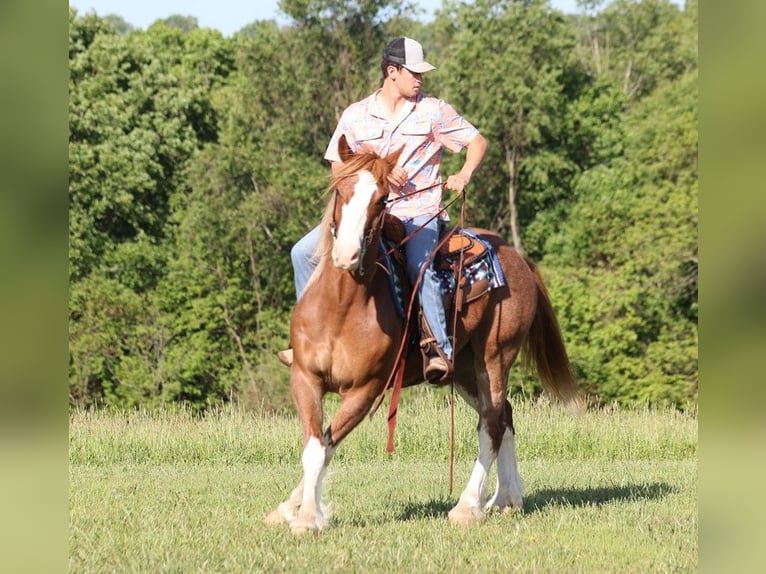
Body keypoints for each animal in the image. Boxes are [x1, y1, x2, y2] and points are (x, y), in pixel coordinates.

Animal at [266, 135, 584, 536]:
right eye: (340, 189)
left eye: (381, 200)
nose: (347, 254)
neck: (340, 308)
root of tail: (519, 259)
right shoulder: (305, 378)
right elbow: (315, 446)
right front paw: (293, 509)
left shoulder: (365, 390)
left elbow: (325, 445)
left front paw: (309, 516)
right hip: (463, 368)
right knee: (504, 415)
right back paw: (505, 499)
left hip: (495, 356)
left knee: (491, 423)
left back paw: (468, 506)